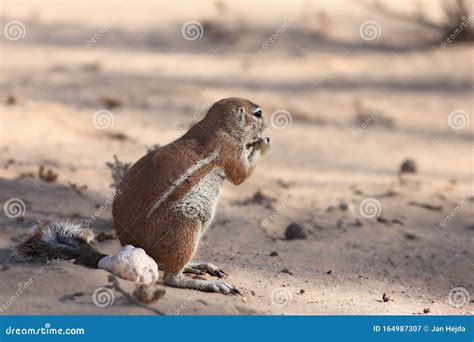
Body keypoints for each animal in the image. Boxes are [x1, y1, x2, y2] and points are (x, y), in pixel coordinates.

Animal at [15, 97, 270, 296]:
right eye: (258, 113)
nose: (267, 126)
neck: (219, 126)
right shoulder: (229, 150)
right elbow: (242, 174)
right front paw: (264, 143)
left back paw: (199, 266)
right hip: (186, 226)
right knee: (170, 278)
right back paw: (206, 283)